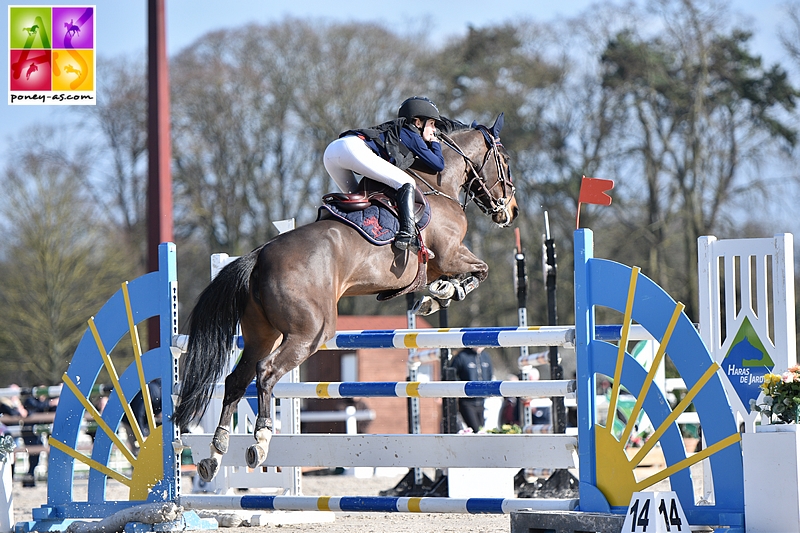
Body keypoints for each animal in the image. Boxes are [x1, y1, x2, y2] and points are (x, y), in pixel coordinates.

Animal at [173, 113, 520, 482]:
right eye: (505, 160)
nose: (511, 210)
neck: (436, 185)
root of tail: (259, 255)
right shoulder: (451, 254)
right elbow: (480, 270)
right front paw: (445, 293)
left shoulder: (440, 263)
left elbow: (455, 278)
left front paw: (435, 296)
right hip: (310, 333)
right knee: (265, 372)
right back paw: (260, 442)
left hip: (263, 334)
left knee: (236, 380)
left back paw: (215, 453)